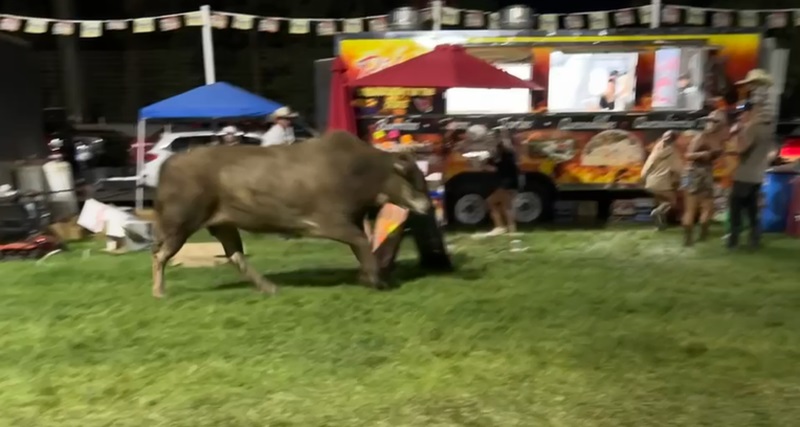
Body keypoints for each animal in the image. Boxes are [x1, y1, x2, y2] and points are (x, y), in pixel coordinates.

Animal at [150, 132, 432, 300]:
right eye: (414, 180)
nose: (429, 207)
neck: (363, 171)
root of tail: (170, 163)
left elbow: (361, 246)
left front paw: (367, 276)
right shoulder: (329, 221)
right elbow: (361, 242)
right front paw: (376, 280)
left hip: (224, 224)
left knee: (236, 256)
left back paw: (269, 287)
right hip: (180, 223)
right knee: (160, 255)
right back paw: (159, 291)